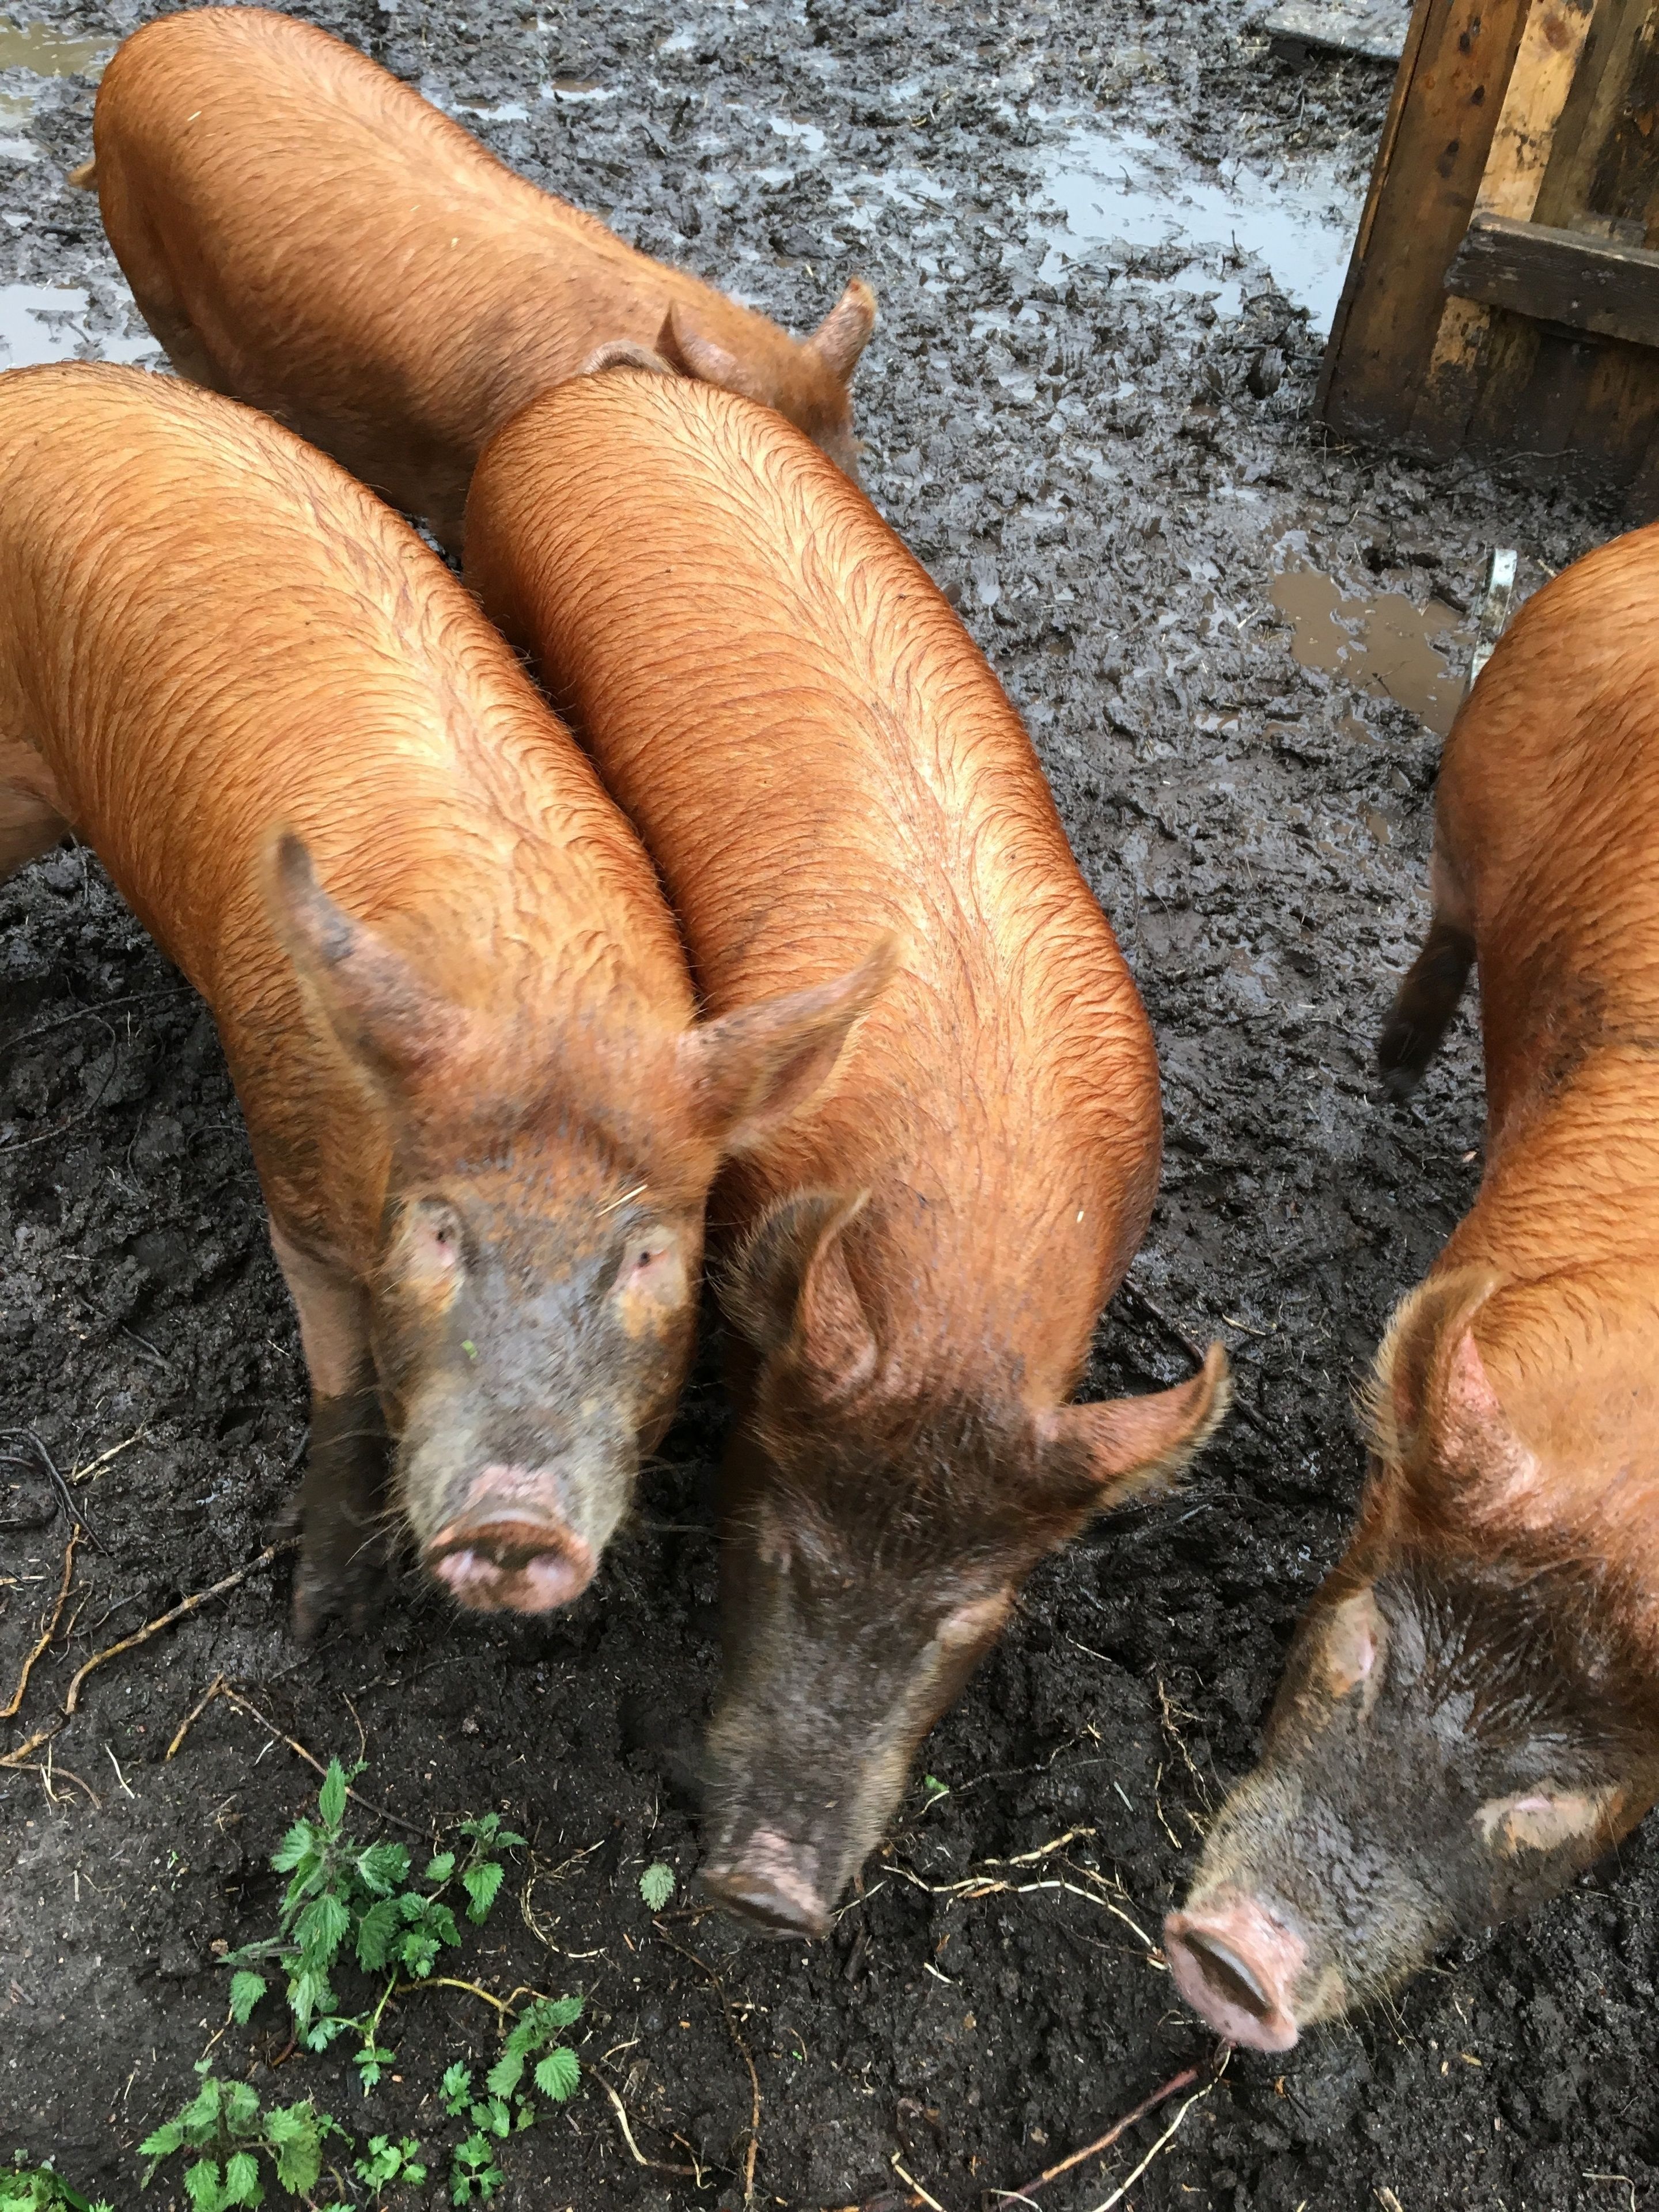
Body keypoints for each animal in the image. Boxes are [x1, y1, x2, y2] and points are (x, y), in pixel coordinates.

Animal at [0, 362, 884, 1638]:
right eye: (438, 1227)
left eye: (647, 1253)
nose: (514, 1518)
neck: (538, 997)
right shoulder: (288, 1171)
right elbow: (343, 1386)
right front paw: (316, 1621)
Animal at [1165, 525, 1659, 2051]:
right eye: (1366, 1648)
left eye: (1548, 1804)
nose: (1237, 1958)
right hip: (1472, 793)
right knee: (1446, 924)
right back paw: (1388, 1070)